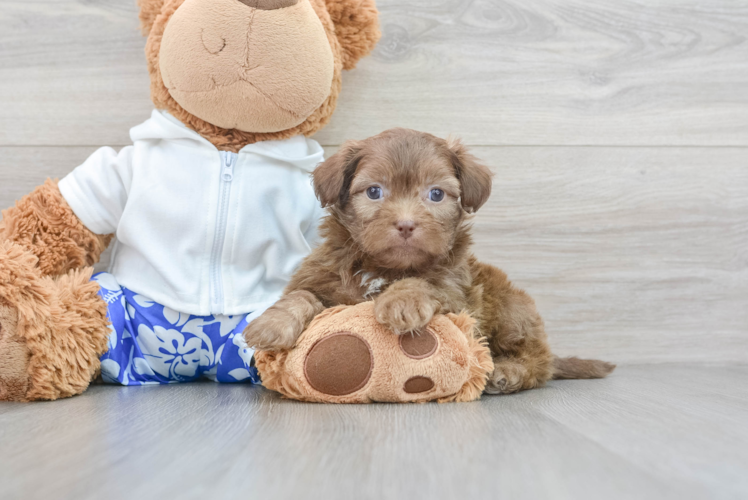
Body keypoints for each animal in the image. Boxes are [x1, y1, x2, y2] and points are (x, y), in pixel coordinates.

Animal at [245, 129, 612, 394]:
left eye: (436, 194)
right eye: (374, 191)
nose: (406, 224)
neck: (385, 268)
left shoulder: (457, 296)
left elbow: (424, 281)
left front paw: (402, 301)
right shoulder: (321, 277)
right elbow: (301, 295)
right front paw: (271, 324)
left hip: (512, 309)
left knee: (538, 361)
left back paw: (509, 371)